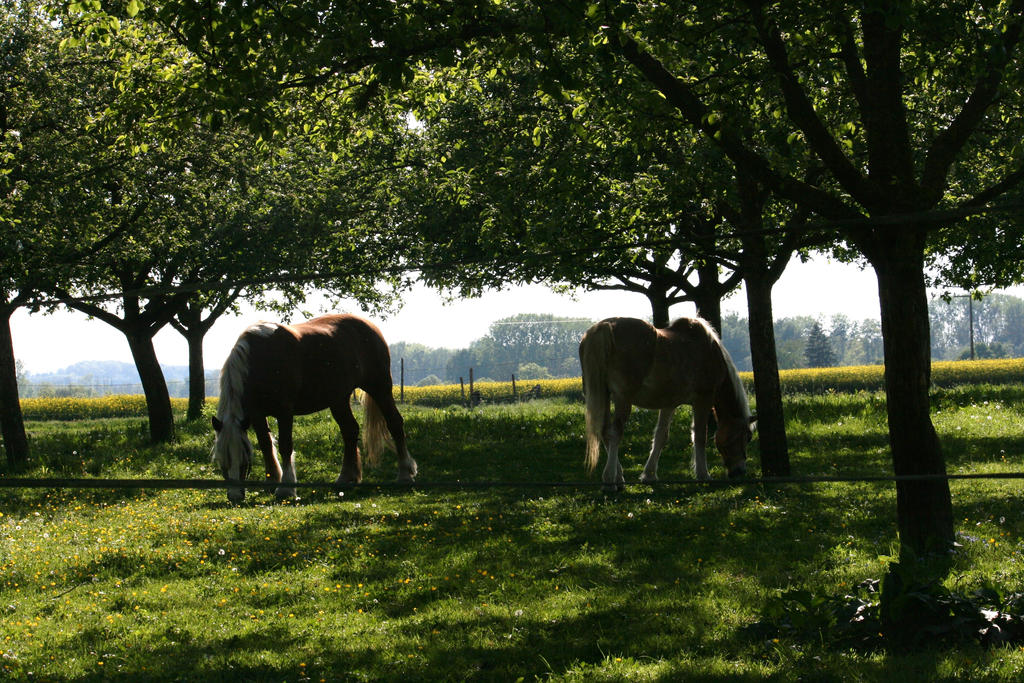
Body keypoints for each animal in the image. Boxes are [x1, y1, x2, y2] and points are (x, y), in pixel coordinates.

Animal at [211, 313, 415, 501]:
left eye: (244, 461)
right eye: (222, 461)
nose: (235, 496)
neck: (261, 359)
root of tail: (370, 326)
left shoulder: (284, 412)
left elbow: (285, 446)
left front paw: (286, 488)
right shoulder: (256, 414)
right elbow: (266, 445)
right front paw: (272, 480)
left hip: (379, 388)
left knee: (394, 423)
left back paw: (405, 474)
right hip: (338, 399)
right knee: (350, 431)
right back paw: (346, 478)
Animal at [581, 317, 757, 491]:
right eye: (747, 437)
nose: (740, 471)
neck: (708, 351)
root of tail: (605, 327)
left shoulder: (669, 404)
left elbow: (661, 436)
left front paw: (649, 475)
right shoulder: (703, 400)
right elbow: (700, 436)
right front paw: (703, 475)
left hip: (603, 395)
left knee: (604, 432)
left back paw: (619, 478)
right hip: (622, 399)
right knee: (615, 433)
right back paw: (610, 480)